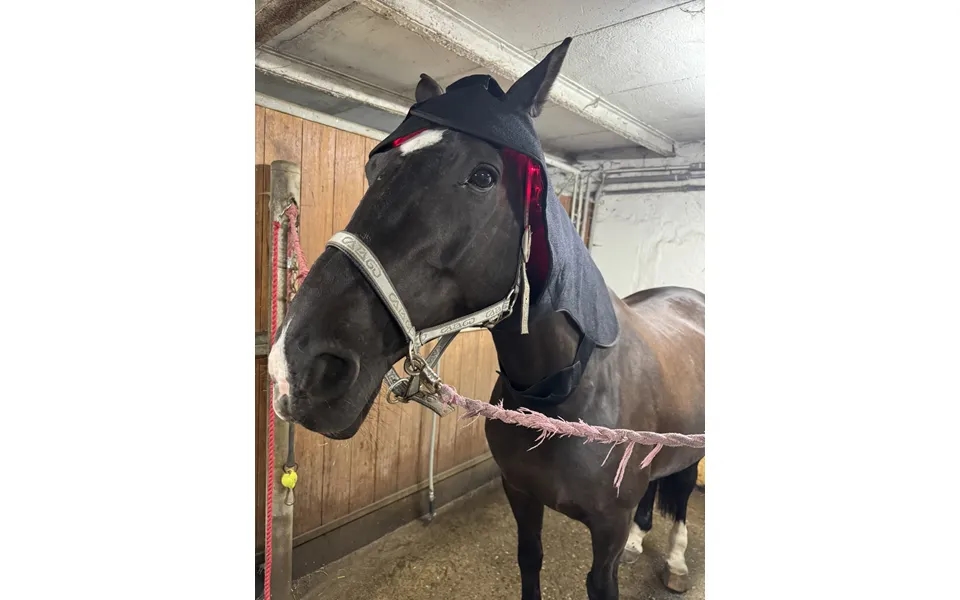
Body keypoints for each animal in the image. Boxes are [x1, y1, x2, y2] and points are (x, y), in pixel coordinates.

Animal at [267, 38, 705, 600]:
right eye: (374, 170)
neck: (564, 390)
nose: (294, 365)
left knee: (680, 488)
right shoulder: (520, 494)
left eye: (483, 176)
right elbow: (530, 559)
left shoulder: (604, 534)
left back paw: (674, 560)